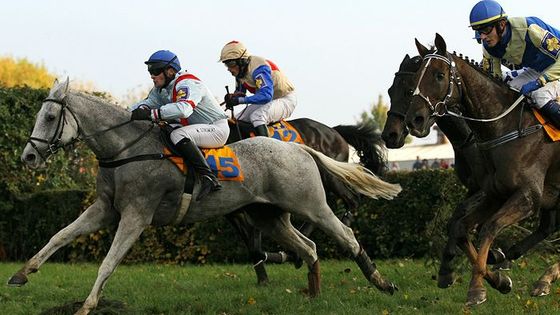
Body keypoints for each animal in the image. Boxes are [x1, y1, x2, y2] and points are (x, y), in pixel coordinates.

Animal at [8, 78, 402, 314]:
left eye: (50, 116)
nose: (28, 157)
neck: (126, 149)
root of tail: (301, 149)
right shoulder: (106, 209)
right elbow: (59, 236)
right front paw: (22, 273)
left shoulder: (136, 215)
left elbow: (108, 261)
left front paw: (87, 304)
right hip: (269, 216)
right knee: (308, 247)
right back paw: (313, 292)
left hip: (312, 205)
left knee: (345, 234)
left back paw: (382, 283)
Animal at [404, 34, 560, 306]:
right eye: (415, 79)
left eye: (439, 75)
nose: (415, 119)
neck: (506, 127)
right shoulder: (494, 194)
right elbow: (460, 228)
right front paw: (498, 279)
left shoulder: (528, 196)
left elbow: (487, 228)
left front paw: (476, 288)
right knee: (547, 227)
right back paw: (532, 272)